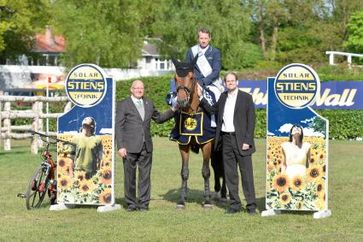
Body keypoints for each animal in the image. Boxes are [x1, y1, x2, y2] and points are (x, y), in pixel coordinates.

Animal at [170, 58, 226, 208]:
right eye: (175, 78)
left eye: (191, 77)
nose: (181, 100)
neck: (192, 112)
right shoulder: (183, 145)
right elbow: (184, 172)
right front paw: (182, 200)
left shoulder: (206, 144)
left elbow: (205, 171)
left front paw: (207, 201)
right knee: (217, 167)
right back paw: (217, 192)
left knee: (223, 168)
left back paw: (223, 194)